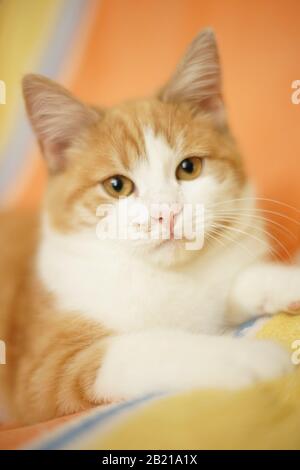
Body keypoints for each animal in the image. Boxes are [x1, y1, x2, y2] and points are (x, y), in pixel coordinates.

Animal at [0, 30, 300, 426]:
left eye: (189, 168)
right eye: (117, 186)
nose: (167, 213)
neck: (165, 277)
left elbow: (239, 282)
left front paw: (286, 281)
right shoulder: (45, 371)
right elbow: (147, 348)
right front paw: (248, 357)